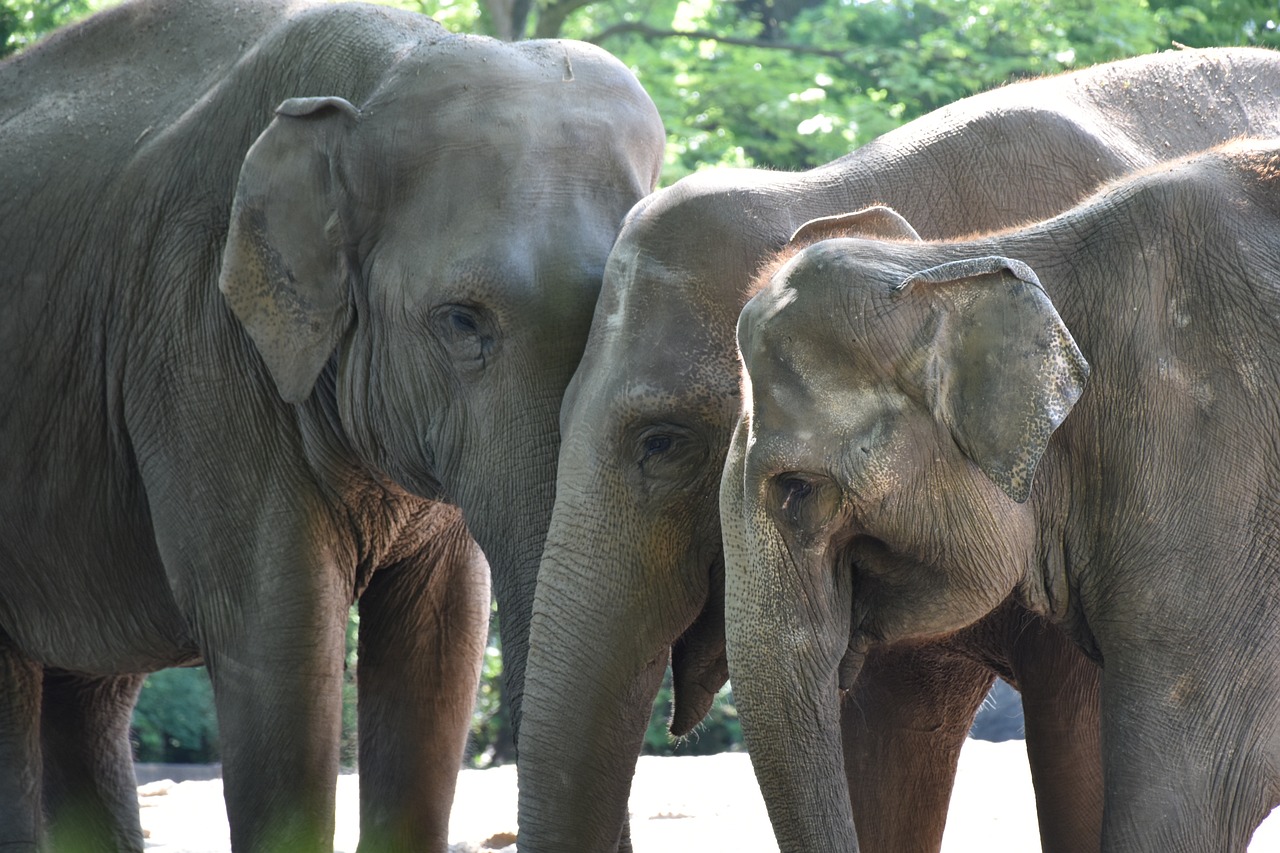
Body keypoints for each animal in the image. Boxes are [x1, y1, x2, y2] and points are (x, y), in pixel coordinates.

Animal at [0, 0, 663, 850]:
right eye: (461, 320)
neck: (381, 71)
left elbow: (438, 653)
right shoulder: (198, 341)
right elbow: (281, 650)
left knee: (89, 695)